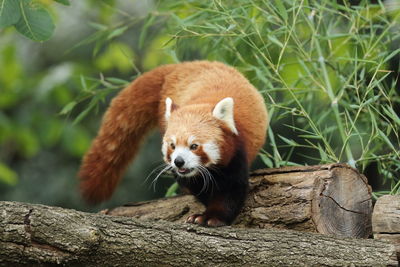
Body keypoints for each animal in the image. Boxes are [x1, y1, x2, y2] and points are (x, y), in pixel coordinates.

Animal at [79, 61, 268, 228]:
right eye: (172, 145)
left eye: (194, 146)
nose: (178, 161)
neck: (201, 103)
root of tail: (184, 65)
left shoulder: (237, 152)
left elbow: (231, 190)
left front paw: (211, 217)